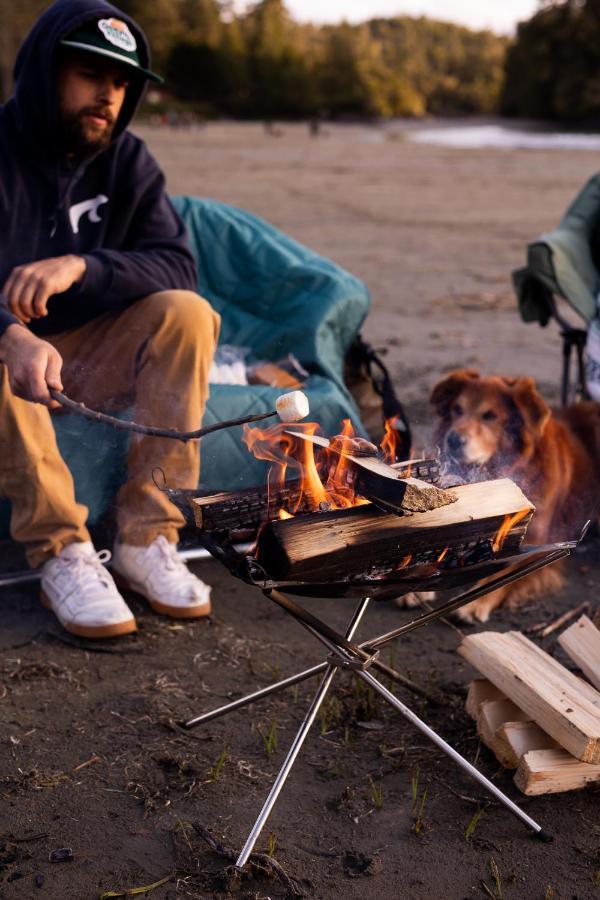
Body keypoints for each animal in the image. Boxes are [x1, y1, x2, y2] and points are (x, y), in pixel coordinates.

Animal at [408, 370, 600, 624]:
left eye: (490, 416)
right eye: (457, 409)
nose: (453, 440)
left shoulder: (538, 541)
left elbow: (502, 575)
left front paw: (475, 602)